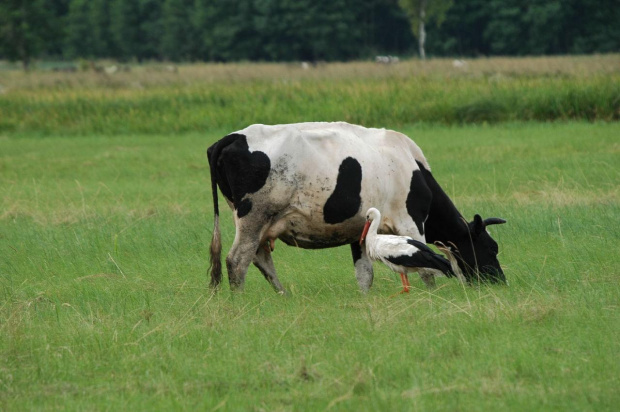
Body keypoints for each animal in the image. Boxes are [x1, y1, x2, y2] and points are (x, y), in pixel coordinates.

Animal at [206, 122, 506, 292]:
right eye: (492, 248)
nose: (500, 282)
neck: (412, 166)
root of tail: (232, 137)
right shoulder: (411, 222)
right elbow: (425, 266)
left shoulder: (360, 229)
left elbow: (365, 275)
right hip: (254, 216)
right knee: (237, 261)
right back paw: (240, 300)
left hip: (257, 223)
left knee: (260, 259)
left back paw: (282, 295)